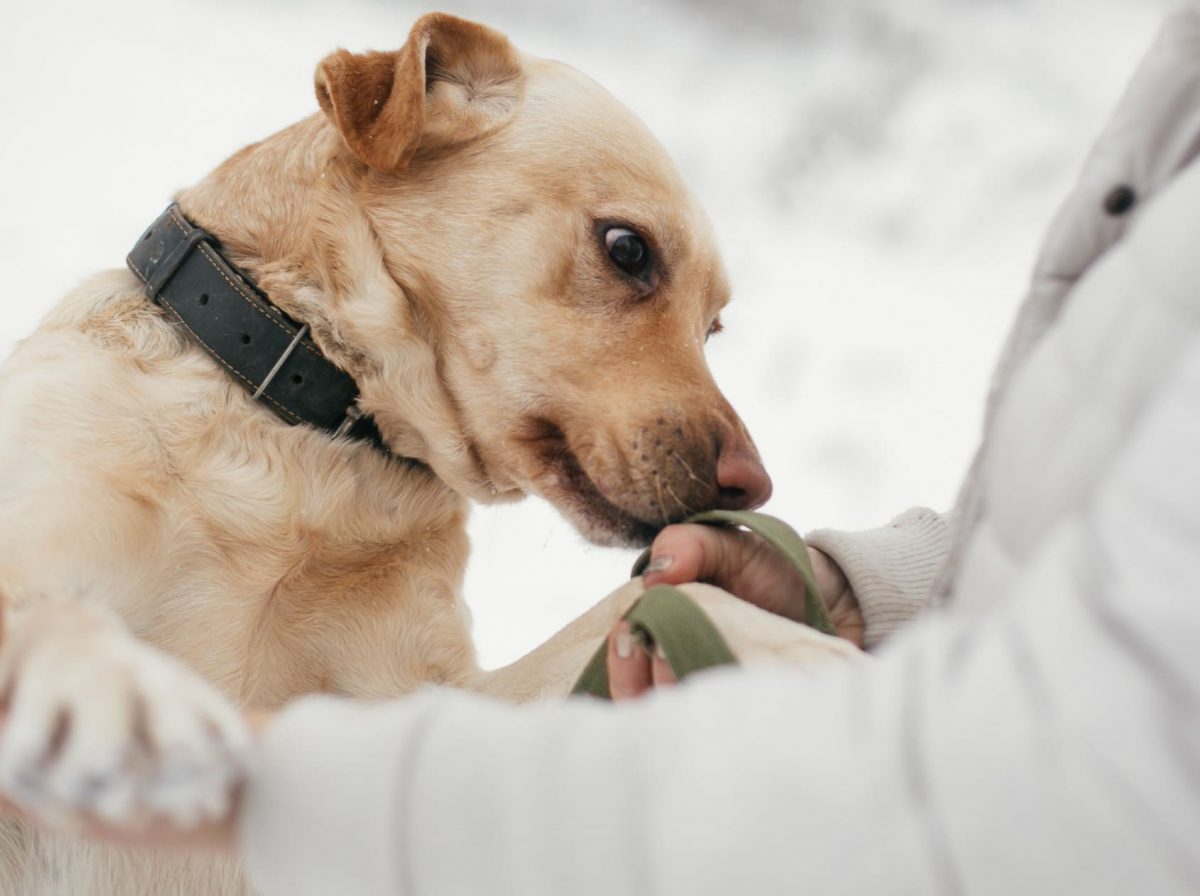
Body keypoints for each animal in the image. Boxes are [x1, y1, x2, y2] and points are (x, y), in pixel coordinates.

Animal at [0, 14, 859, 896]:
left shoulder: (413, 718)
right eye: (627, 249)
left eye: (712, 327)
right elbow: (54, 613)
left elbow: (653, 602)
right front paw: (115, 690)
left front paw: (805, 657)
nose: (753, 488)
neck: (311, 449)